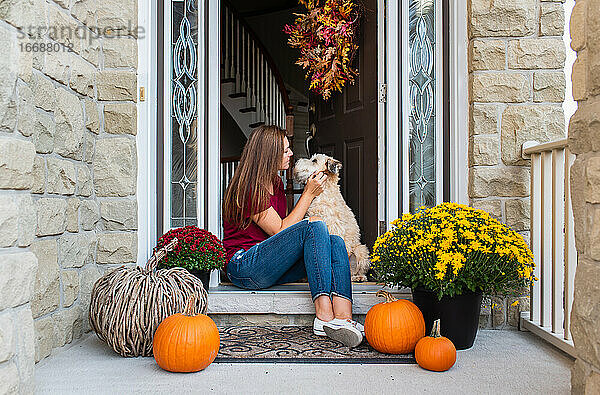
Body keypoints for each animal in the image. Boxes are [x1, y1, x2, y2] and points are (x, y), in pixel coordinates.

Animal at [292, 154, 370, 282]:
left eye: (314, 160)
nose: (295, 161)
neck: (323, 193)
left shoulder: (333, 229)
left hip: (361, 251)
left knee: (356, 271)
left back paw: (359, 277)